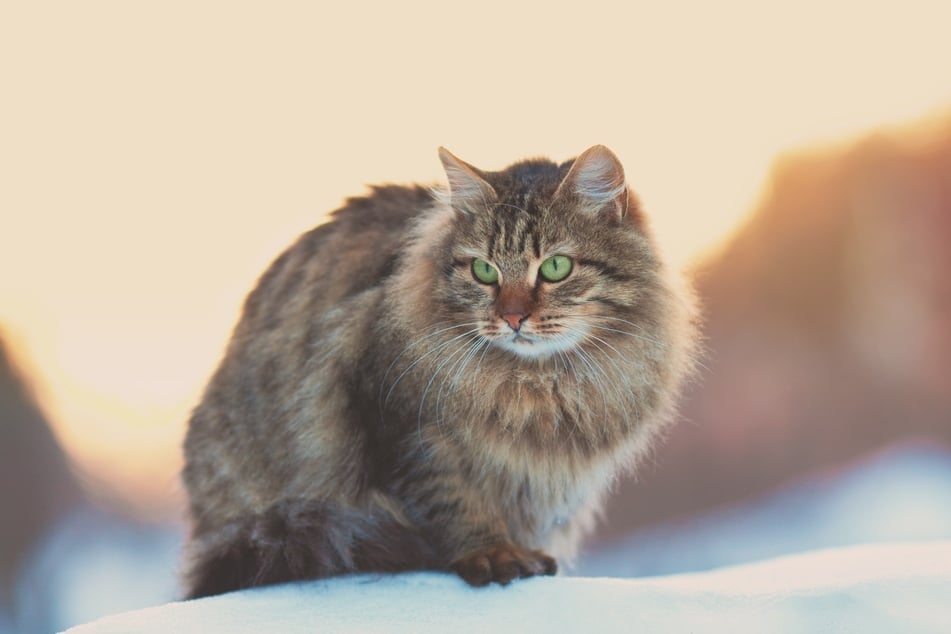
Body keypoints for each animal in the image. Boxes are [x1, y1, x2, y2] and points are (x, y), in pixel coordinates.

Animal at [180, 146, 700, 596]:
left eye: (555, 267)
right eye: (484, 271)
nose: (513, 317)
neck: (536, 386)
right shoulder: (408, 428)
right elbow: (453, 503)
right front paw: (494, 555)